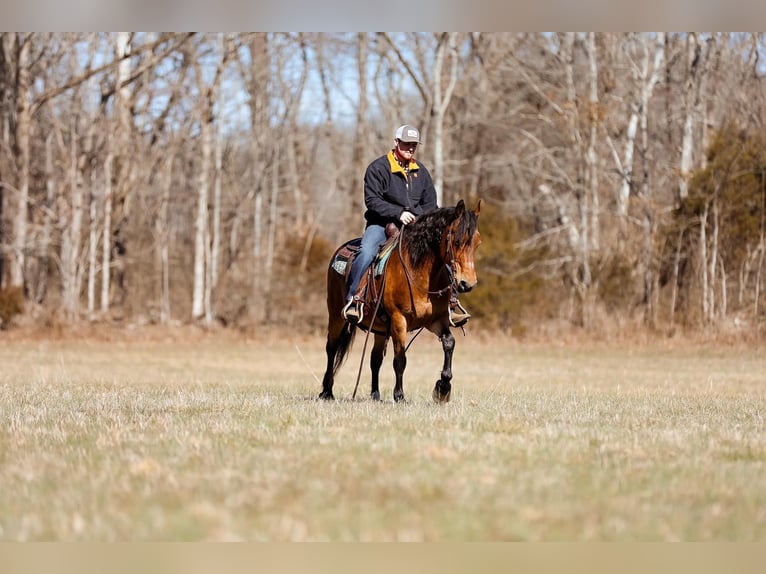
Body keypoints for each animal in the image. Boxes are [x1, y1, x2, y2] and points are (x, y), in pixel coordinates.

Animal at [320, 200, 484, 408]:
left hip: (380, 328)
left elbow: (449, 343)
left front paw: (443, 388)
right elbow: (400, 358)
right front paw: (399, 395)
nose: (467, 284)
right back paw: (326, 391)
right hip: (336, 316)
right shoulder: (399, 319)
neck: (419, 272)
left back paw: (375, 394)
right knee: (331, 348)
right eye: (456, 241)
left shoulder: (436, 320)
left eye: (477, 242)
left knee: (375, 359)